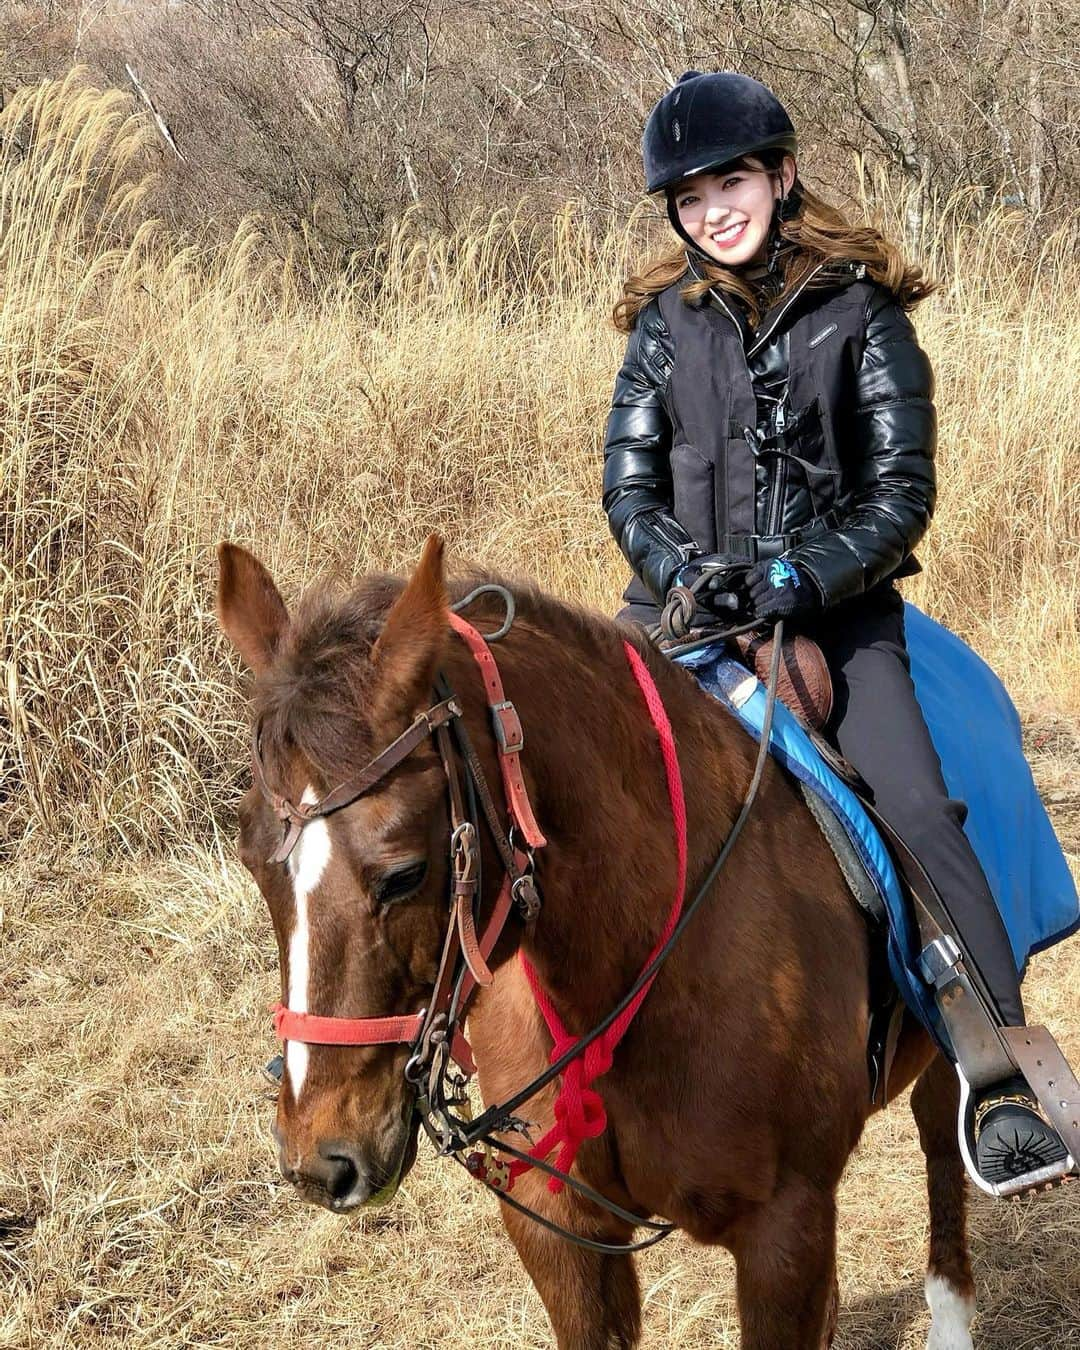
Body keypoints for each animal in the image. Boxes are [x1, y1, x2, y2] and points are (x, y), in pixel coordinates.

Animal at [214, 537, 972, 1350]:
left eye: (403, 874)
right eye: (253, 859)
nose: (321, 1160)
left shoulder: (785, 1231)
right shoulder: (561, 1236)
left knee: (942, 1137)